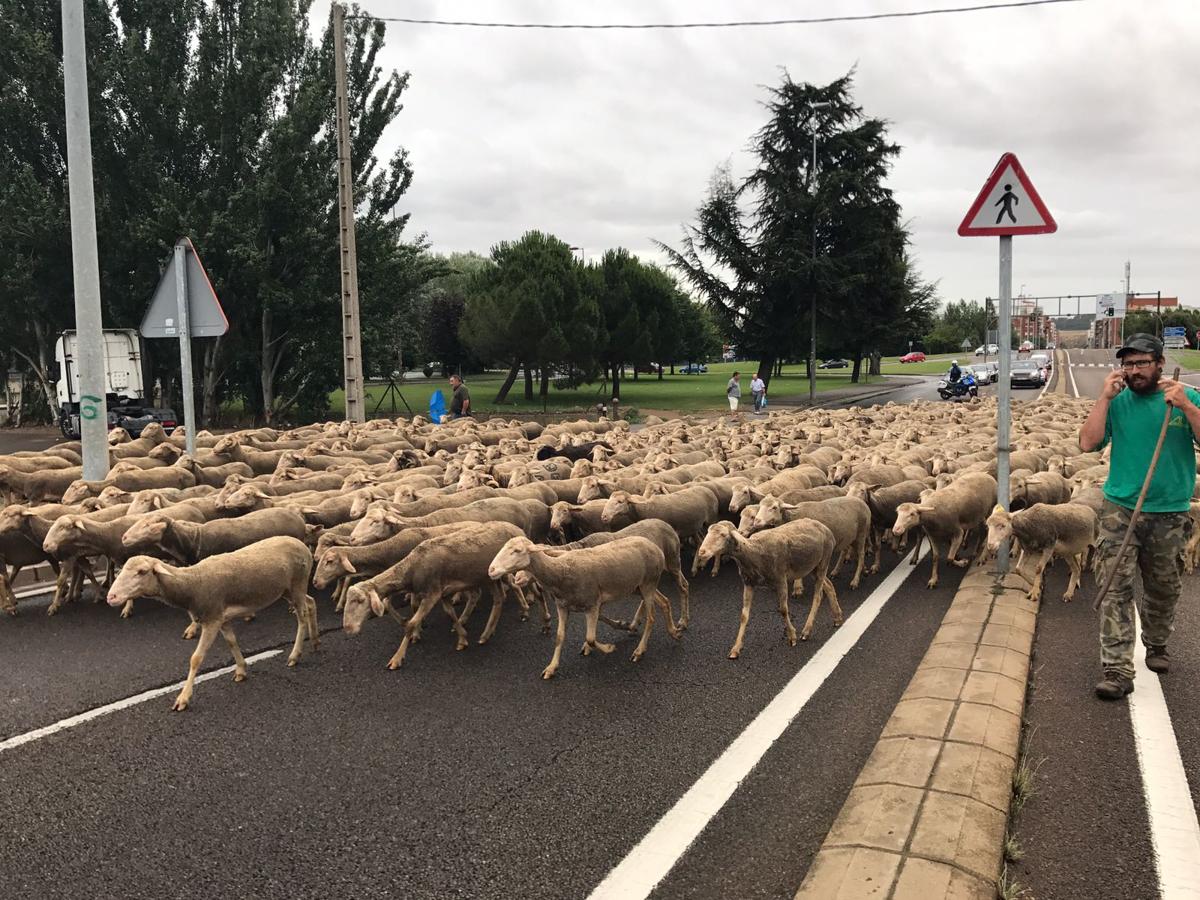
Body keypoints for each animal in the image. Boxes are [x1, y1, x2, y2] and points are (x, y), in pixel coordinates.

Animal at [104, 540, 319, 715]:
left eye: (141, 572)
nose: (111, 597)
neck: (192, 583)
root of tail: (302, 544)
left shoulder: (212, 619)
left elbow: (196, 658)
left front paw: (183, 698)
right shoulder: (222, 619)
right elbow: (232, 642)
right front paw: (241, 670)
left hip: (298, 583)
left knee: (302, 617)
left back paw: (295, 655)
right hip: (286, 590)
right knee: (311, 603)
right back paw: (315, 640)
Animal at [340, 520, 523, 672]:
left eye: (360, 601)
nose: (348, 628)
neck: (411, 568)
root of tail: (516, 528)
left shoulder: (432, 594)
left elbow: (411, 624)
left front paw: (397, 658)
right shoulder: (442, 593)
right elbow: (450, 614)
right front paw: (462, 638)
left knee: (503, 595)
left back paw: (492, 630)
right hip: (489, 577)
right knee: (499, 598)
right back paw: (488, 632)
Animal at [484, 535, 676, 676]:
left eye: (517, 551)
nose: (491, 570)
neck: (560, 571)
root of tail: (655, 547)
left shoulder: (592, 604)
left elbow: (590, 637)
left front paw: (608, 648)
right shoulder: (563, 606)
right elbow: (560, 636)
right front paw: (552, 667)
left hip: (648, 582)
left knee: (651, 618)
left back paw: (639, 651)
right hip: (639, 586)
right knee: (665, 601)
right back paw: (674, 631)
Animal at [691, 518, 840, 657]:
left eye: (722, 535)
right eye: (707, 532)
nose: (702, 552)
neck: (754, 553)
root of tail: (824, 527)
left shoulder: (781, 579)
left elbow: (783, 610)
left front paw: (792, 636)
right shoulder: (748, 583)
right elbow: (744, 616)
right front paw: (736, 648)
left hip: (823, 561)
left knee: (818, 596)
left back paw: (807, 631)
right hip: (811, 567)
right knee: (829, 586)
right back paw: (837, 617)